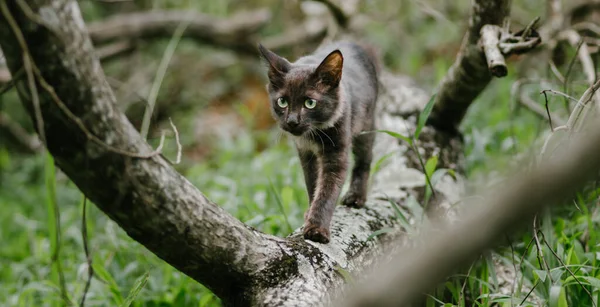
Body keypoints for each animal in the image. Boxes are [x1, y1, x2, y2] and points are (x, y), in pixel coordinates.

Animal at [258, 41, 380, 244]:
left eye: (310, 103)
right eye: (282, 101)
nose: (292, 121)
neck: (315, 134)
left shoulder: (336, 154)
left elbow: (327, 191)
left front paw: (317, 229)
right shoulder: (305, 153)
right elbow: (313, 184)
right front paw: (310, 213)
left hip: (366, 125)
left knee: (365, 159)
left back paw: (356, 197)